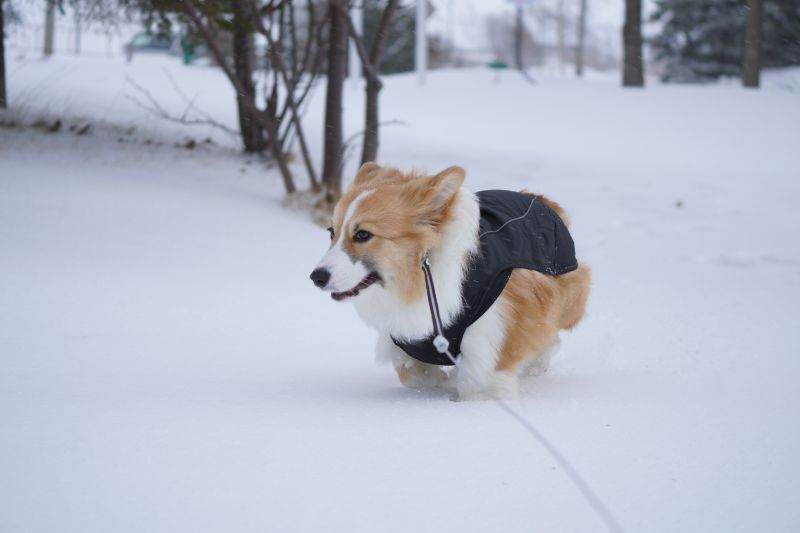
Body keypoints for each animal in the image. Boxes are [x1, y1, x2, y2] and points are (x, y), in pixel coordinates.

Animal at [310, 162, 592, 400]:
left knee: (550, 332)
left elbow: (476, 385)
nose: (316, 277)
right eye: (331, 232)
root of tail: (540, 199)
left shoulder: (488, 339)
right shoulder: (406, 344)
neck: (421, 275)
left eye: (363, 235)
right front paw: (441, 381)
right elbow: (415, 376)